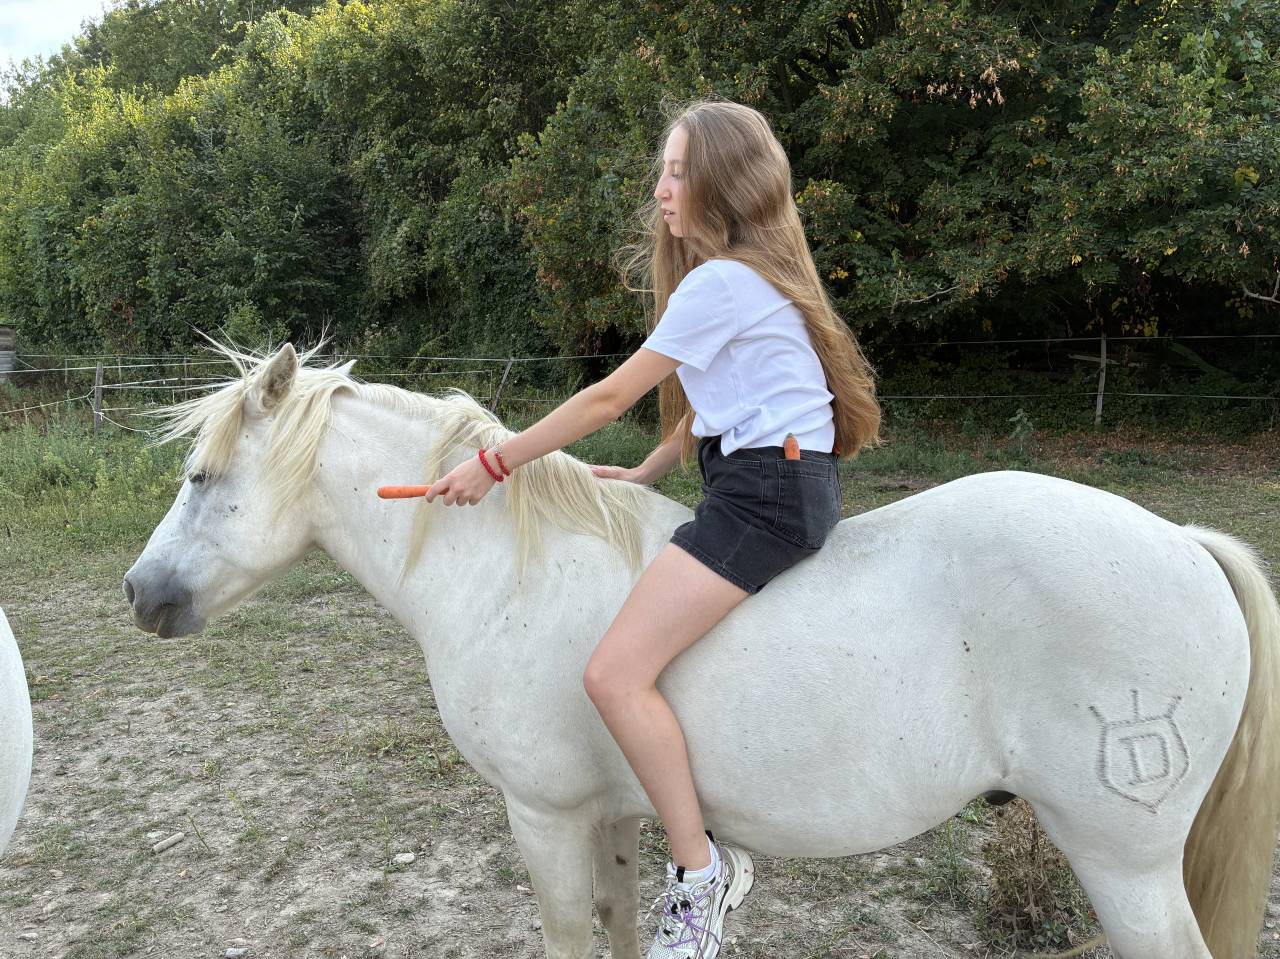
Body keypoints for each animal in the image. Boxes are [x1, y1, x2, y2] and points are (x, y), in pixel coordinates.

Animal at [123, 342, 1280, 959]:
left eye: (200, 476)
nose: (140, 592)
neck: (505, 572)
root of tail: (1183, 541)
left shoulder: (543, 816)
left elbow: (569, 933)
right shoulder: (611, 818)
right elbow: (620, 926)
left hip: (1122, 860)